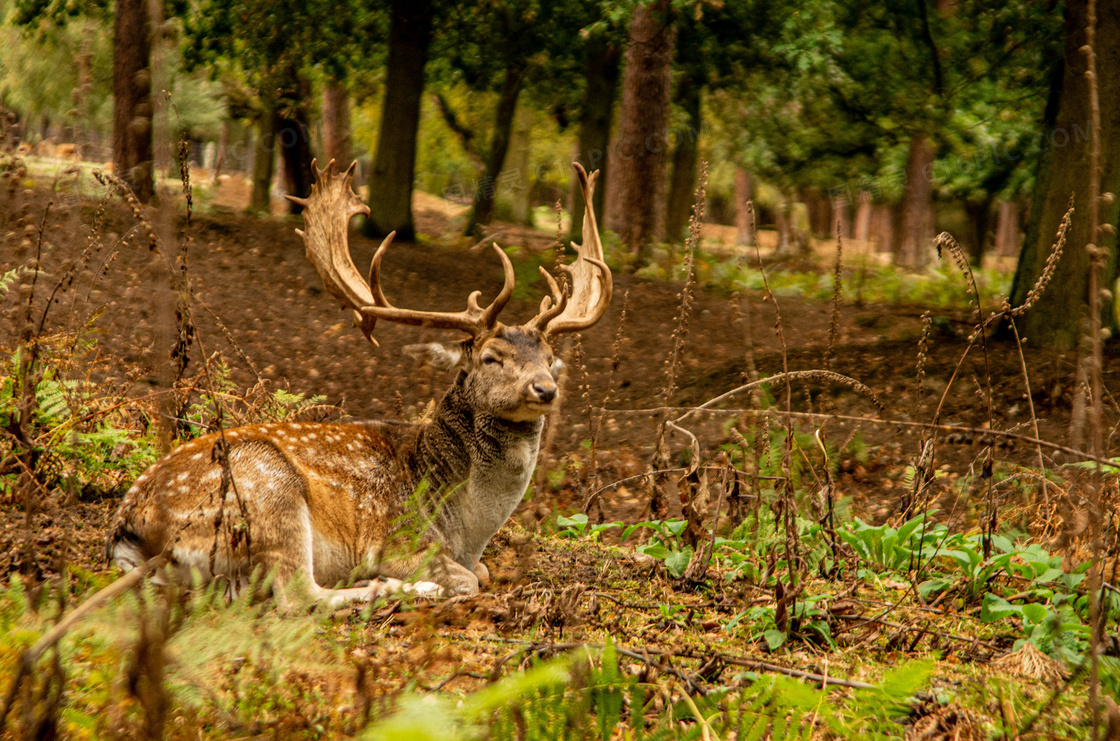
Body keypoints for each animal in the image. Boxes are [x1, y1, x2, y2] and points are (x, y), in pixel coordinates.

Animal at [105, 160, 613, 608]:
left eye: (550, 359)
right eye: (492, 357)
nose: (544, 390)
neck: (467, 529)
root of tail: (131, 522)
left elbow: (484, 572)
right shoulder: (401, 540)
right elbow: (470, 580)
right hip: (270, 494)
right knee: (296, 596)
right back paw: (386, 588)